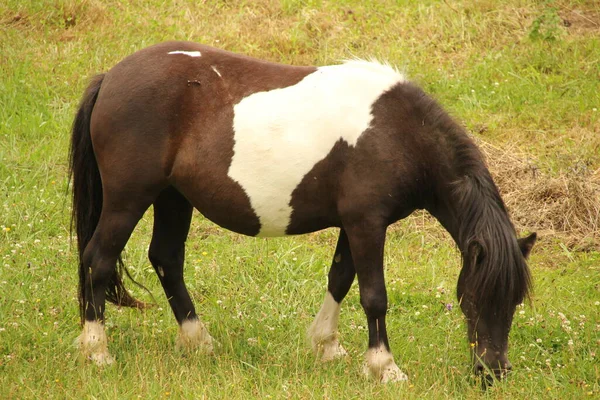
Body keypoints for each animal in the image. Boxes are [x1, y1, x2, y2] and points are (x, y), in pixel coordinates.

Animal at [69, 42, 536, 382]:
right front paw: (384, 367)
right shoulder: (368, 224)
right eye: (471, 298)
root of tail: (110, 78)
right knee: (98, 260)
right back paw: (97, 352)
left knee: (166, 259)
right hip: (129, 199)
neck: (398, 133)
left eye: (514, 301)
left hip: (172, 198)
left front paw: (327, 345)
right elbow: (374, 296)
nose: (492, 372)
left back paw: (198, 341)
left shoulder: (353, 224)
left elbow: (340, 279)